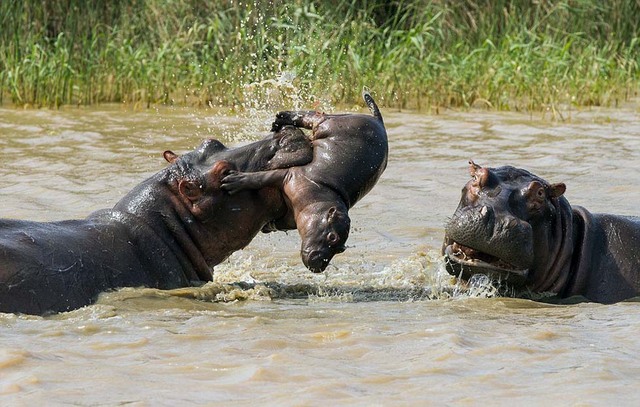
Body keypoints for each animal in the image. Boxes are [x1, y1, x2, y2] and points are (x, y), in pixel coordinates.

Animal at [222, 91, 388, 272]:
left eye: (341, 249)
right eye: (332, 237)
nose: (321, 265)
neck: (324, 196)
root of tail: (379, 121)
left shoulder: (291, 215)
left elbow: (279, 223)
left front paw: (268, 226)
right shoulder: (290, 176)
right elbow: (261, 178)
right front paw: (232, 181)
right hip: (328, 124)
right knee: (314, 115)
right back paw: (280, 119)